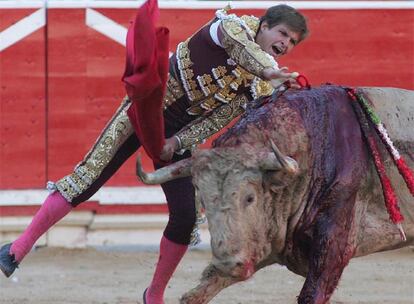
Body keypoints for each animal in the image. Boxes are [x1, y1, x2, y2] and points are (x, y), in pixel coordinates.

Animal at [137, 85, 412, 304]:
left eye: (250, 197)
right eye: (203, 201)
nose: (227, 263)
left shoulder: (334, 244)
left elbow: (311, 295)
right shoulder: (261, 242)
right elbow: (197, 293)